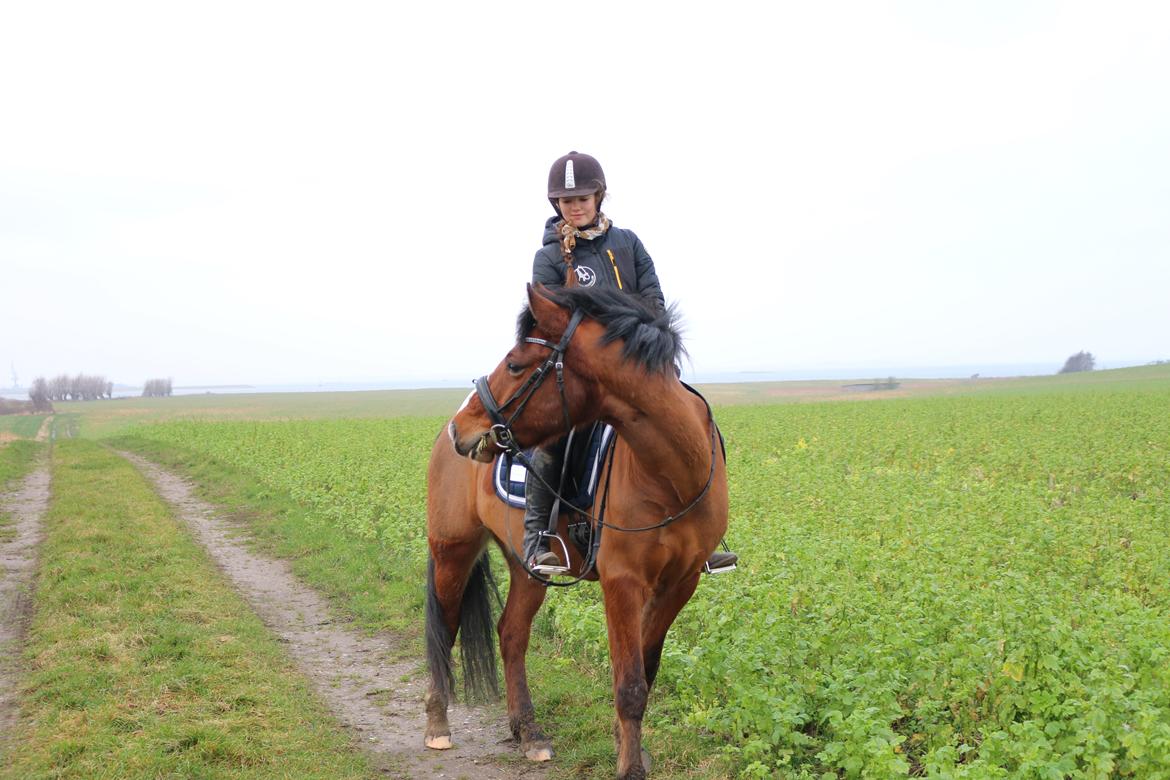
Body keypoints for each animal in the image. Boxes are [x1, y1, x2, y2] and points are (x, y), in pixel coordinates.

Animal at [425, 284, 725, 776]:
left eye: (515, 364)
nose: (461, 428)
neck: (673, 473)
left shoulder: (679, 583)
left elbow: (646, 671)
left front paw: (630, 748)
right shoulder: (622, 582)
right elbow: (630, 684)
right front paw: (630, 768)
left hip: (527, 567)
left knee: (511, 634)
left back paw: (528, 733)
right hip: (453, 550)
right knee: (444, 628)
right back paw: (437, 726)